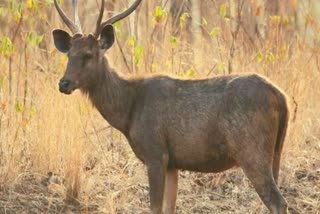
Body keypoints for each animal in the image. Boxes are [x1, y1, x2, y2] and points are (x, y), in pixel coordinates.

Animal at [52, 0, 290, 213]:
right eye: (69, 54)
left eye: (88, 55)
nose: (63, 83)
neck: (128, 113)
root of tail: (281, 97)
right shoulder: (172, 163)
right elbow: (169, 207)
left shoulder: (156, 152)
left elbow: (155, 208)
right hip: (275, 152)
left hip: (252, 150)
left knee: (278, 202)